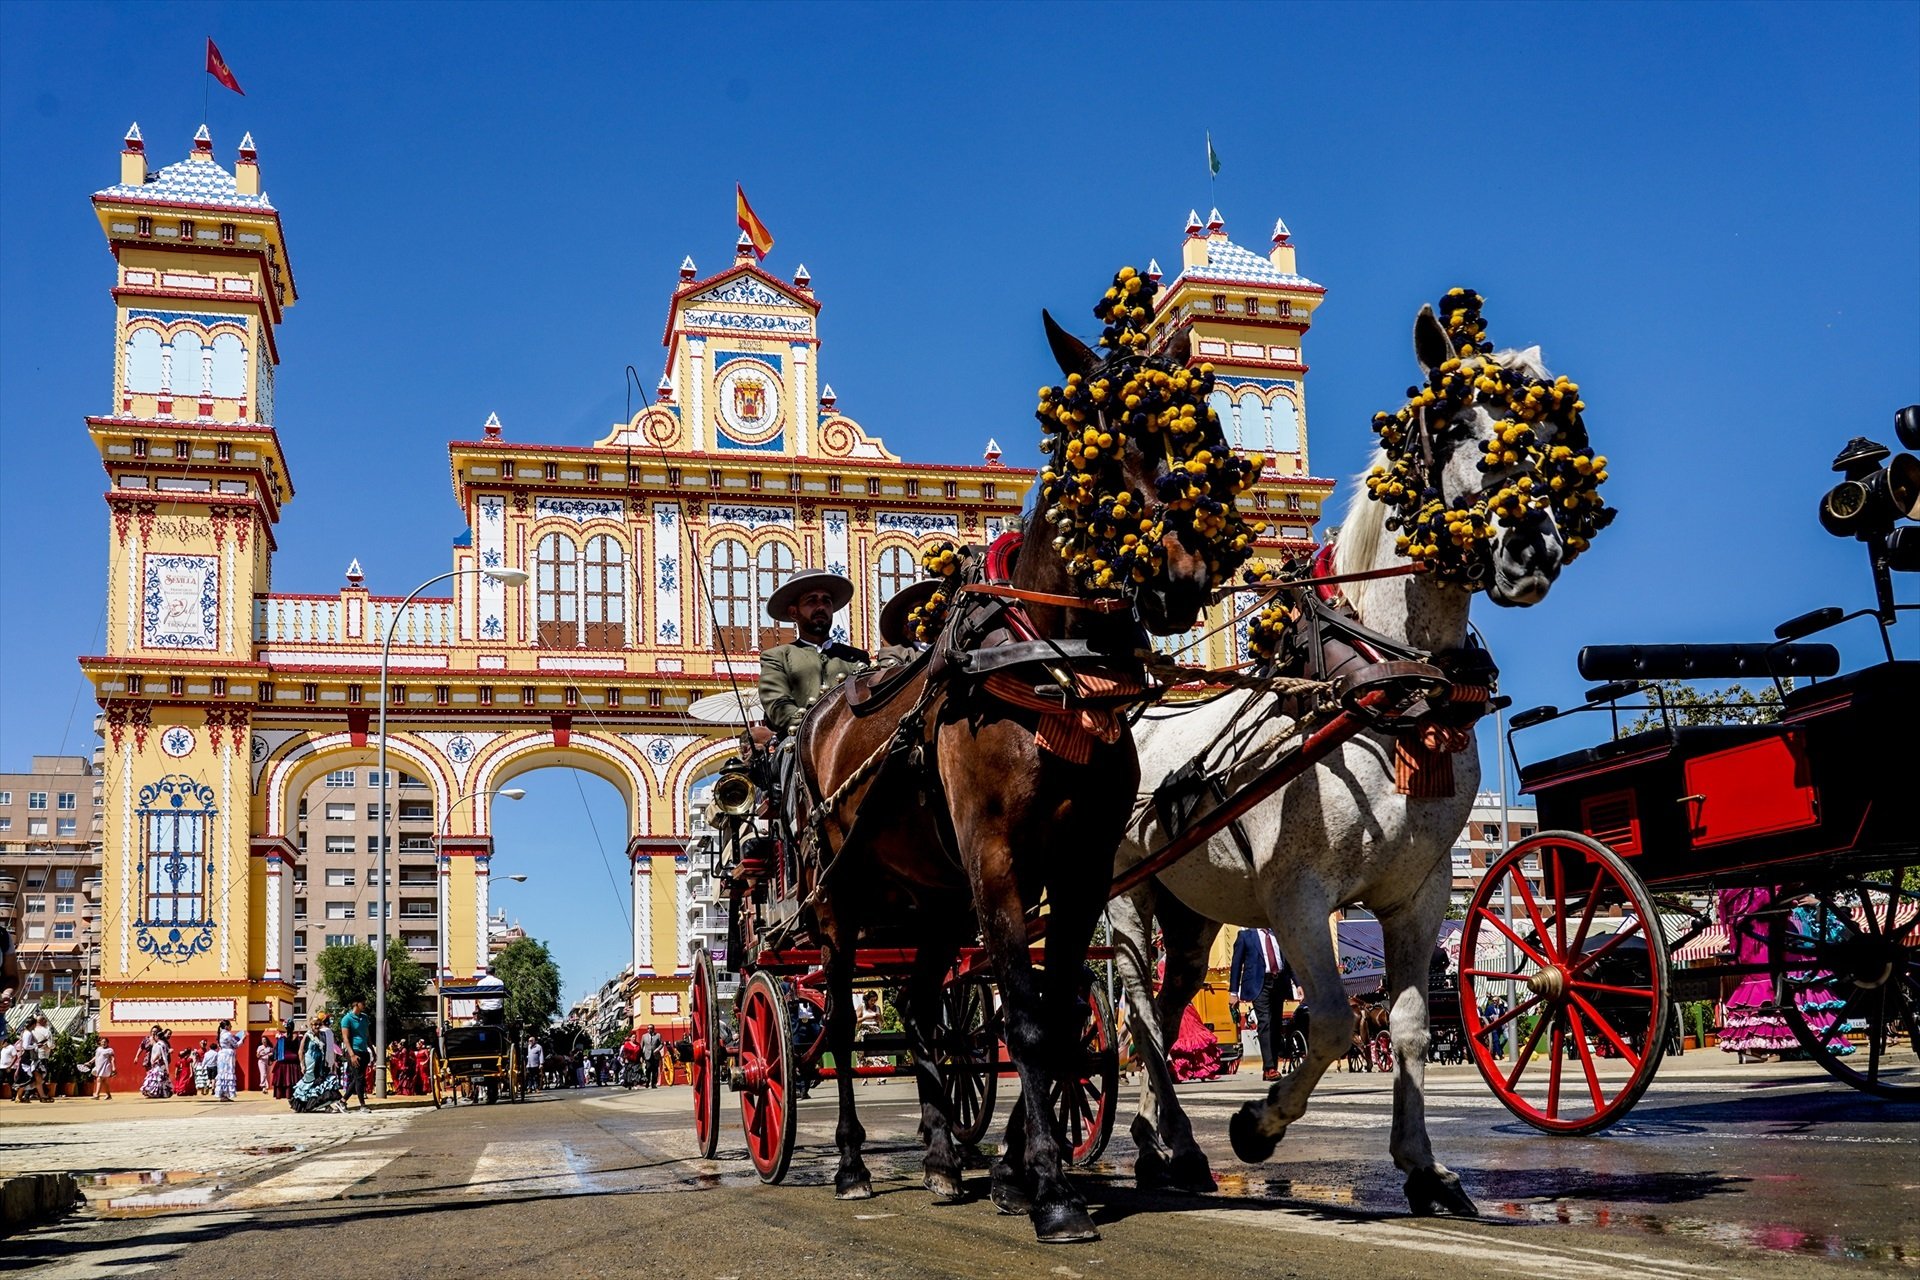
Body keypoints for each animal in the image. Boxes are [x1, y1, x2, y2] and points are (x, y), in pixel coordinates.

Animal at [791, 287, 1251, 1243]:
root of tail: (817, 719)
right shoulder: (998, 859)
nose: (1179, 580)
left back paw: (940, 1158)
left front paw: (1013, 1170)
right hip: (840, 897)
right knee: (843, 1025)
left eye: (1200, 436)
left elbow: (1059, 1010)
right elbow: (1031, 1024)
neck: (1050, 664)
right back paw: (852, 1163)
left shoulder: (1081, 866)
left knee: (922, 1007)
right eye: (1098, 447)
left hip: (932, 897)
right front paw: (1051, 1190)